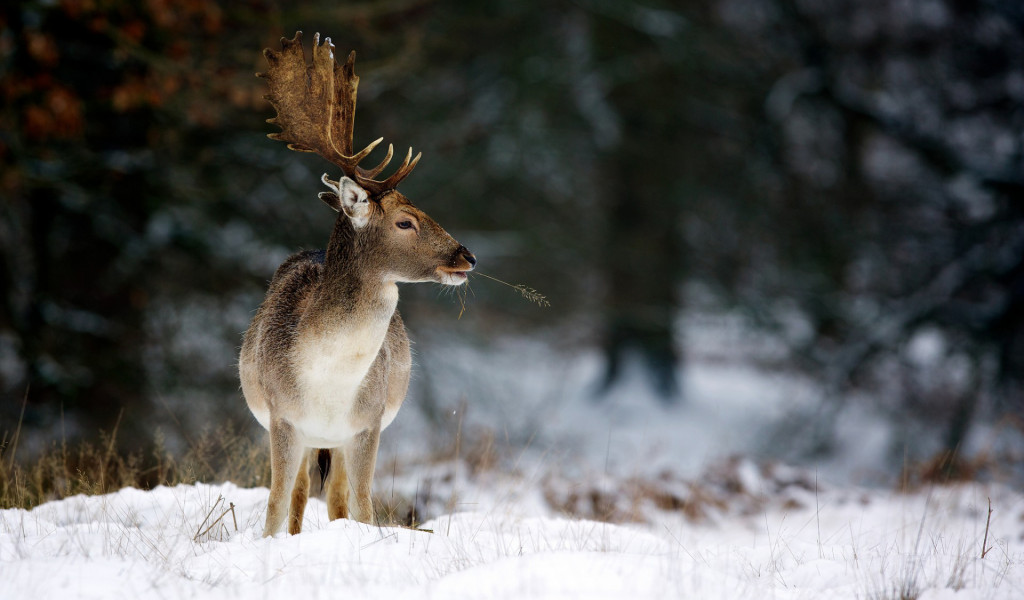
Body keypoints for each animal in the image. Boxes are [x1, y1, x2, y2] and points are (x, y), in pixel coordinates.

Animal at [241, 32, 477, 536]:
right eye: (405, 221)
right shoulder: (282, 418)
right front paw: (269, 542)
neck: (328, 381)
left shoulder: (367, 423)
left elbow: (364, 505)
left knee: (334, 496)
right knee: (299, 493)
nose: (466, 256)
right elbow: (274, 503)